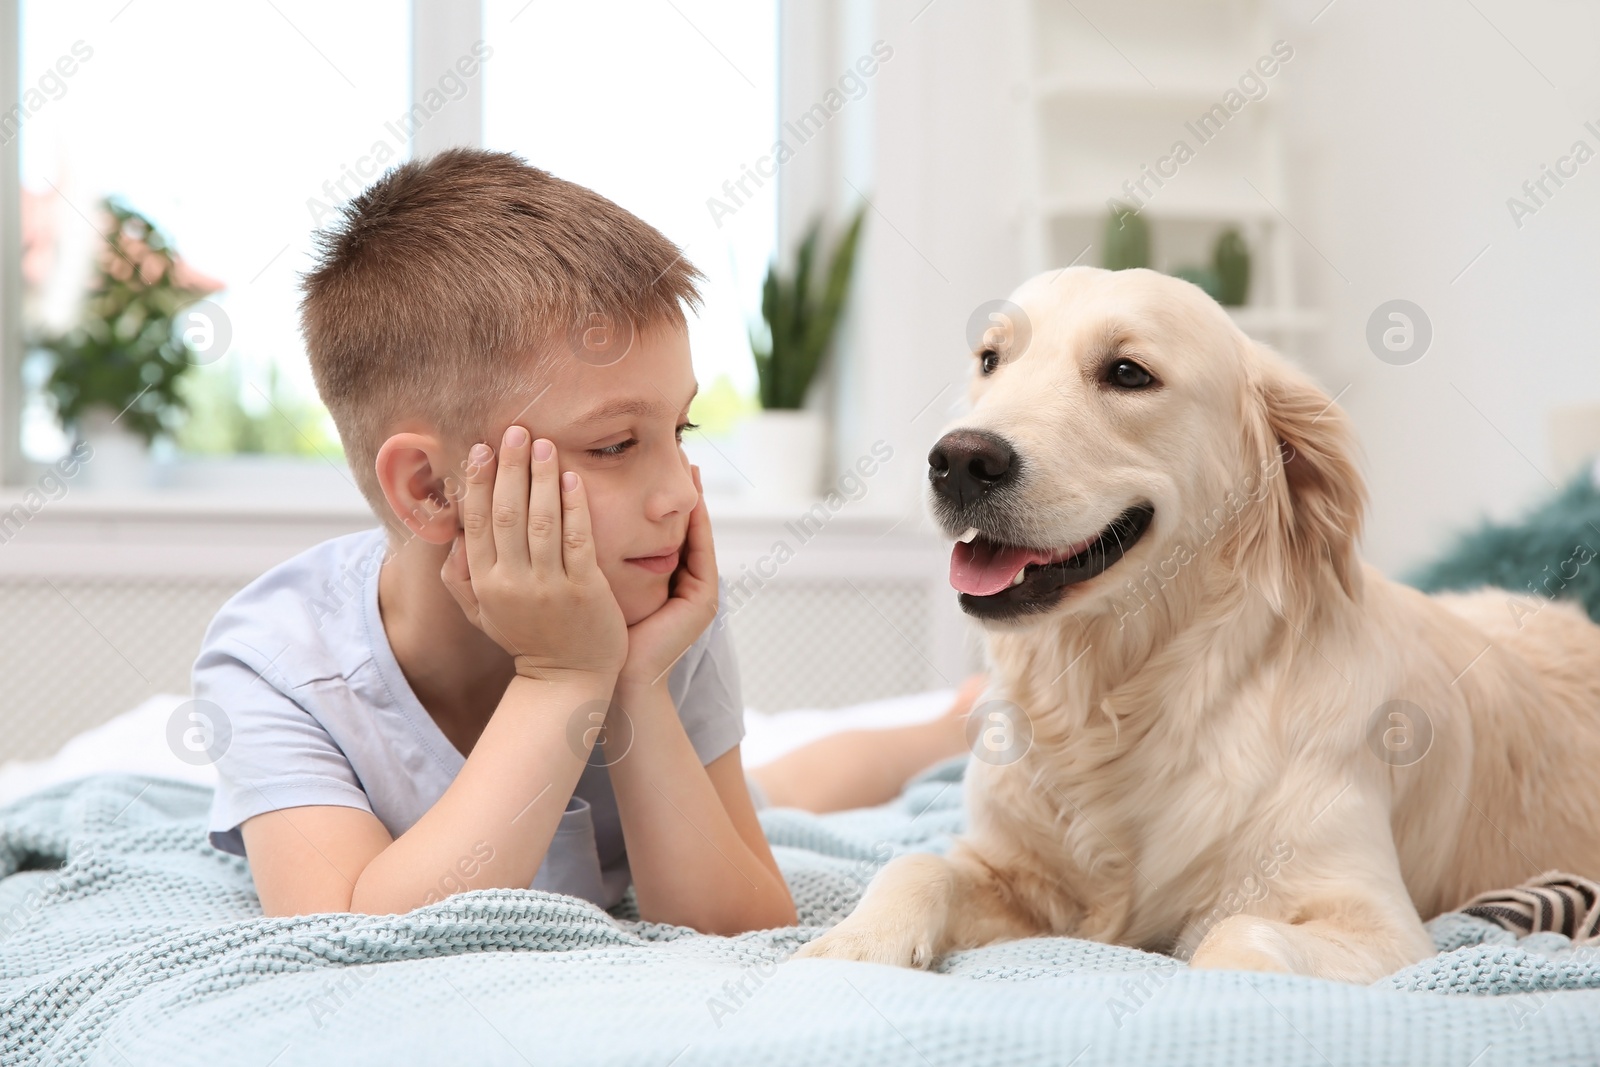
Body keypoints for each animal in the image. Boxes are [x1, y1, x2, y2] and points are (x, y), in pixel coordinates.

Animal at [790, 267, 1600, 985]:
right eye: (991, 360)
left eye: (1127, 372)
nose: (958, 458)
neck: (1117, 696)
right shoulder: (1013, 871)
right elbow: (916, 861)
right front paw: (856, 944)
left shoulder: (1377, 920)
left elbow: (1236, 936)